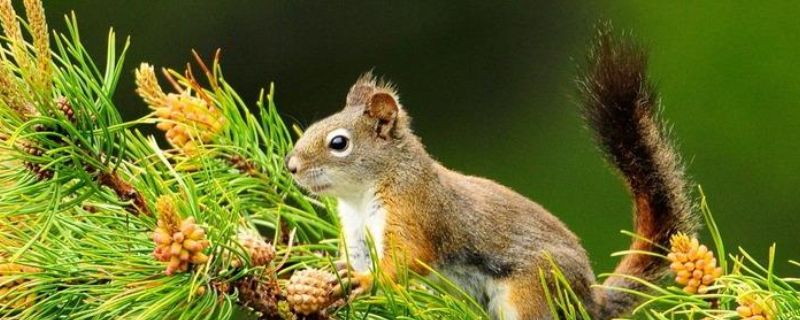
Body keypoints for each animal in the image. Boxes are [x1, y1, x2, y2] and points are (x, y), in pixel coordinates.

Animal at [286, 25, 692, 320]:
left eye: (339, 143)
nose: (291, 166)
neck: (359, 196)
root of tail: (588, 300)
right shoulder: (356, 234)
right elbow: (355, 258)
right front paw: (334, 274)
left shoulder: (415, 212)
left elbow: (407, 259)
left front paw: (364, 280)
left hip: (531, 291)